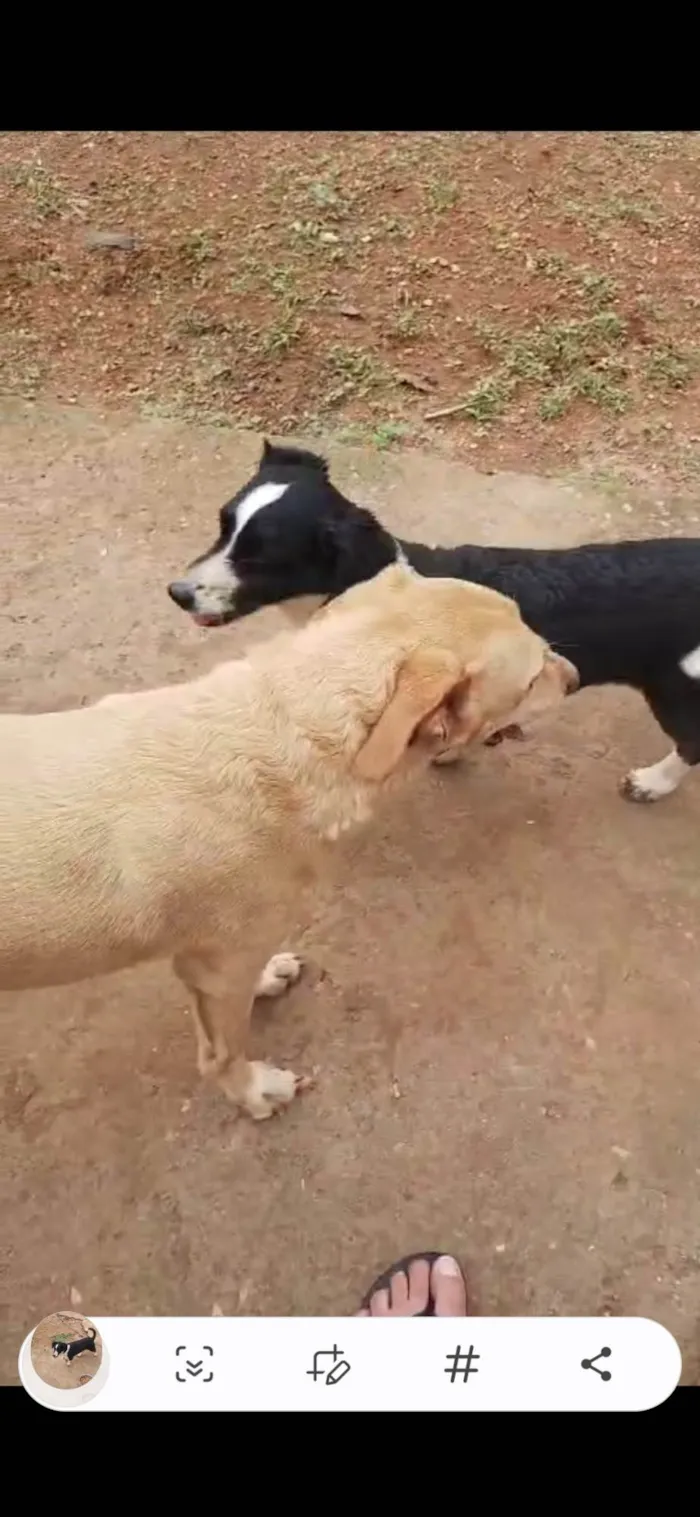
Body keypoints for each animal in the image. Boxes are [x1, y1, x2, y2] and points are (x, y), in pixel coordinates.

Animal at [170, 442, 700, 807]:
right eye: (222, 525)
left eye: (259, 559)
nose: (177, 593)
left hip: (675, 688)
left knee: (691, 744)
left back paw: (652, 783)